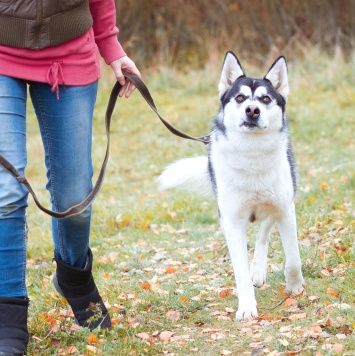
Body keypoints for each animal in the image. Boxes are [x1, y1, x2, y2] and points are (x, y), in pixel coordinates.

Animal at [159, 52, 306, 320]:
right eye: (239, 97)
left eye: (266, 99)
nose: (252, 110)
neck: (252, 156)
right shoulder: (233, 221)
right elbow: (240, 272)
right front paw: (247, 308)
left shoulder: (285, 209)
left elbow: (293, 259)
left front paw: (295, 288)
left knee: (264, 231)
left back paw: (258, 268)